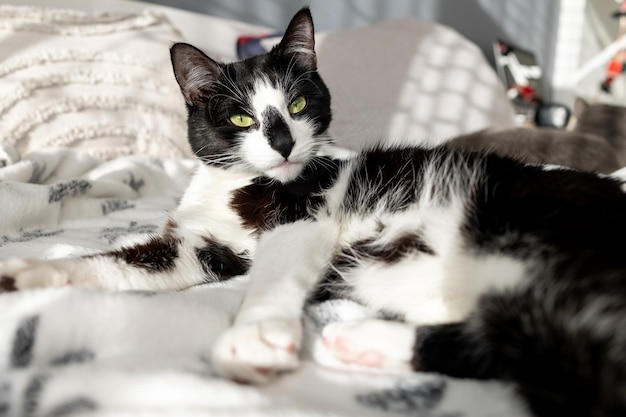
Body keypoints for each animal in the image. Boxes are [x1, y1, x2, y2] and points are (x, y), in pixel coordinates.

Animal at [1, 6, 624, 416]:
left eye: (299, 103)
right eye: (240, 117)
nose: (282, 143)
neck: (237, 186)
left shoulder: (303, 217)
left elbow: (272, 276)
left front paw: (254, 336)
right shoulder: (202, 245)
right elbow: (130, 260)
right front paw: (32, 273)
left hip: (531, 243)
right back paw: (364, 343)